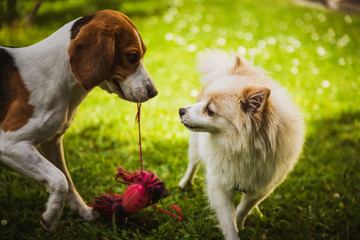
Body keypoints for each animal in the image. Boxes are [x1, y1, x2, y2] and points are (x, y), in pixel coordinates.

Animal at [0, 9, 158, 232]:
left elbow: (67, 180)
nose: (154, 92)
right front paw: (51, 219)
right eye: (132, 56)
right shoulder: (10, 143)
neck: (58, 78)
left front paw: (82, 211)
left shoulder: (52, 142)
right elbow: (60, 180)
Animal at [179, 49, 306, 240]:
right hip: (194, 146)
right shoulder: (220, 186)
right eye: (203, 102)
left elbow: (244, 208)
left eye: (210, 110)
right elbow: (228, 220)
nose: (181, 110)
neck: (242, 149)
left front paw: (241, 221)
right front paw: (234, 231)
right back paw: (184, 183)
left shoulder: (263, 187)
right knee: (192, 165)